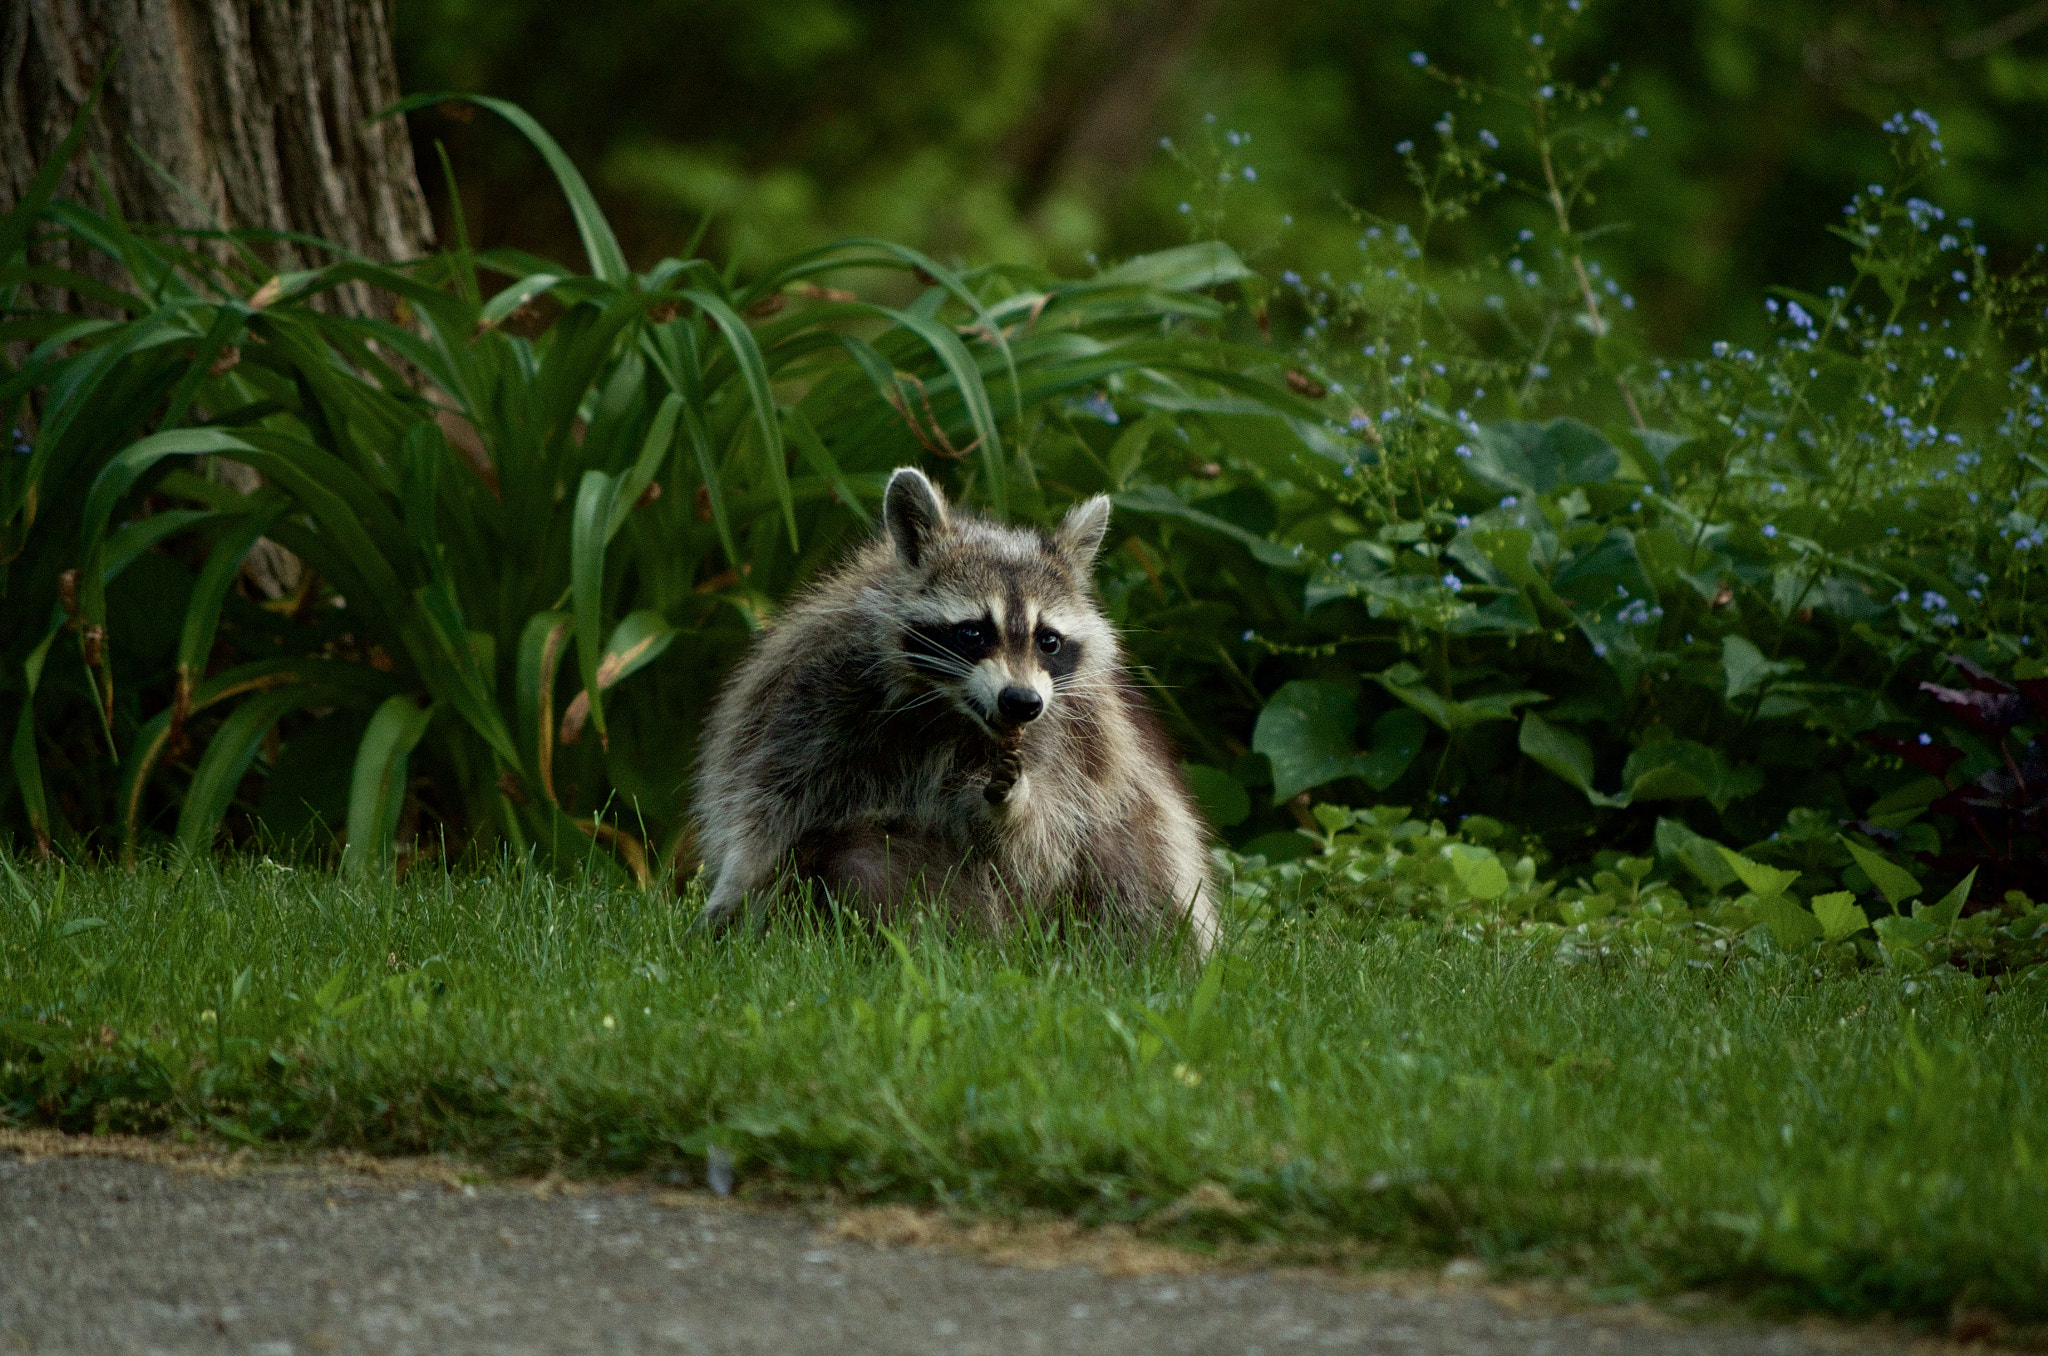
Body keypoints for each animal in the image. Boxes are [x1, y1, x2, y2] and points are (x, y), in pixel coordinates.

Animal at [696, 467, 1220, 954]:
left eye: (1047, 641)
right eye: (973, 633)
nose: (1021, 702)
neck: (952, 710)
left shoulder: (1070, 733)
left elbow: (1042, 832)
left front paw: (1014, 806)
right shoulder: (817, 685)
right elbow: (769, 793)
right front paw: (737, 883)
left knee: (1125, 850)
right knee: (860, 858)